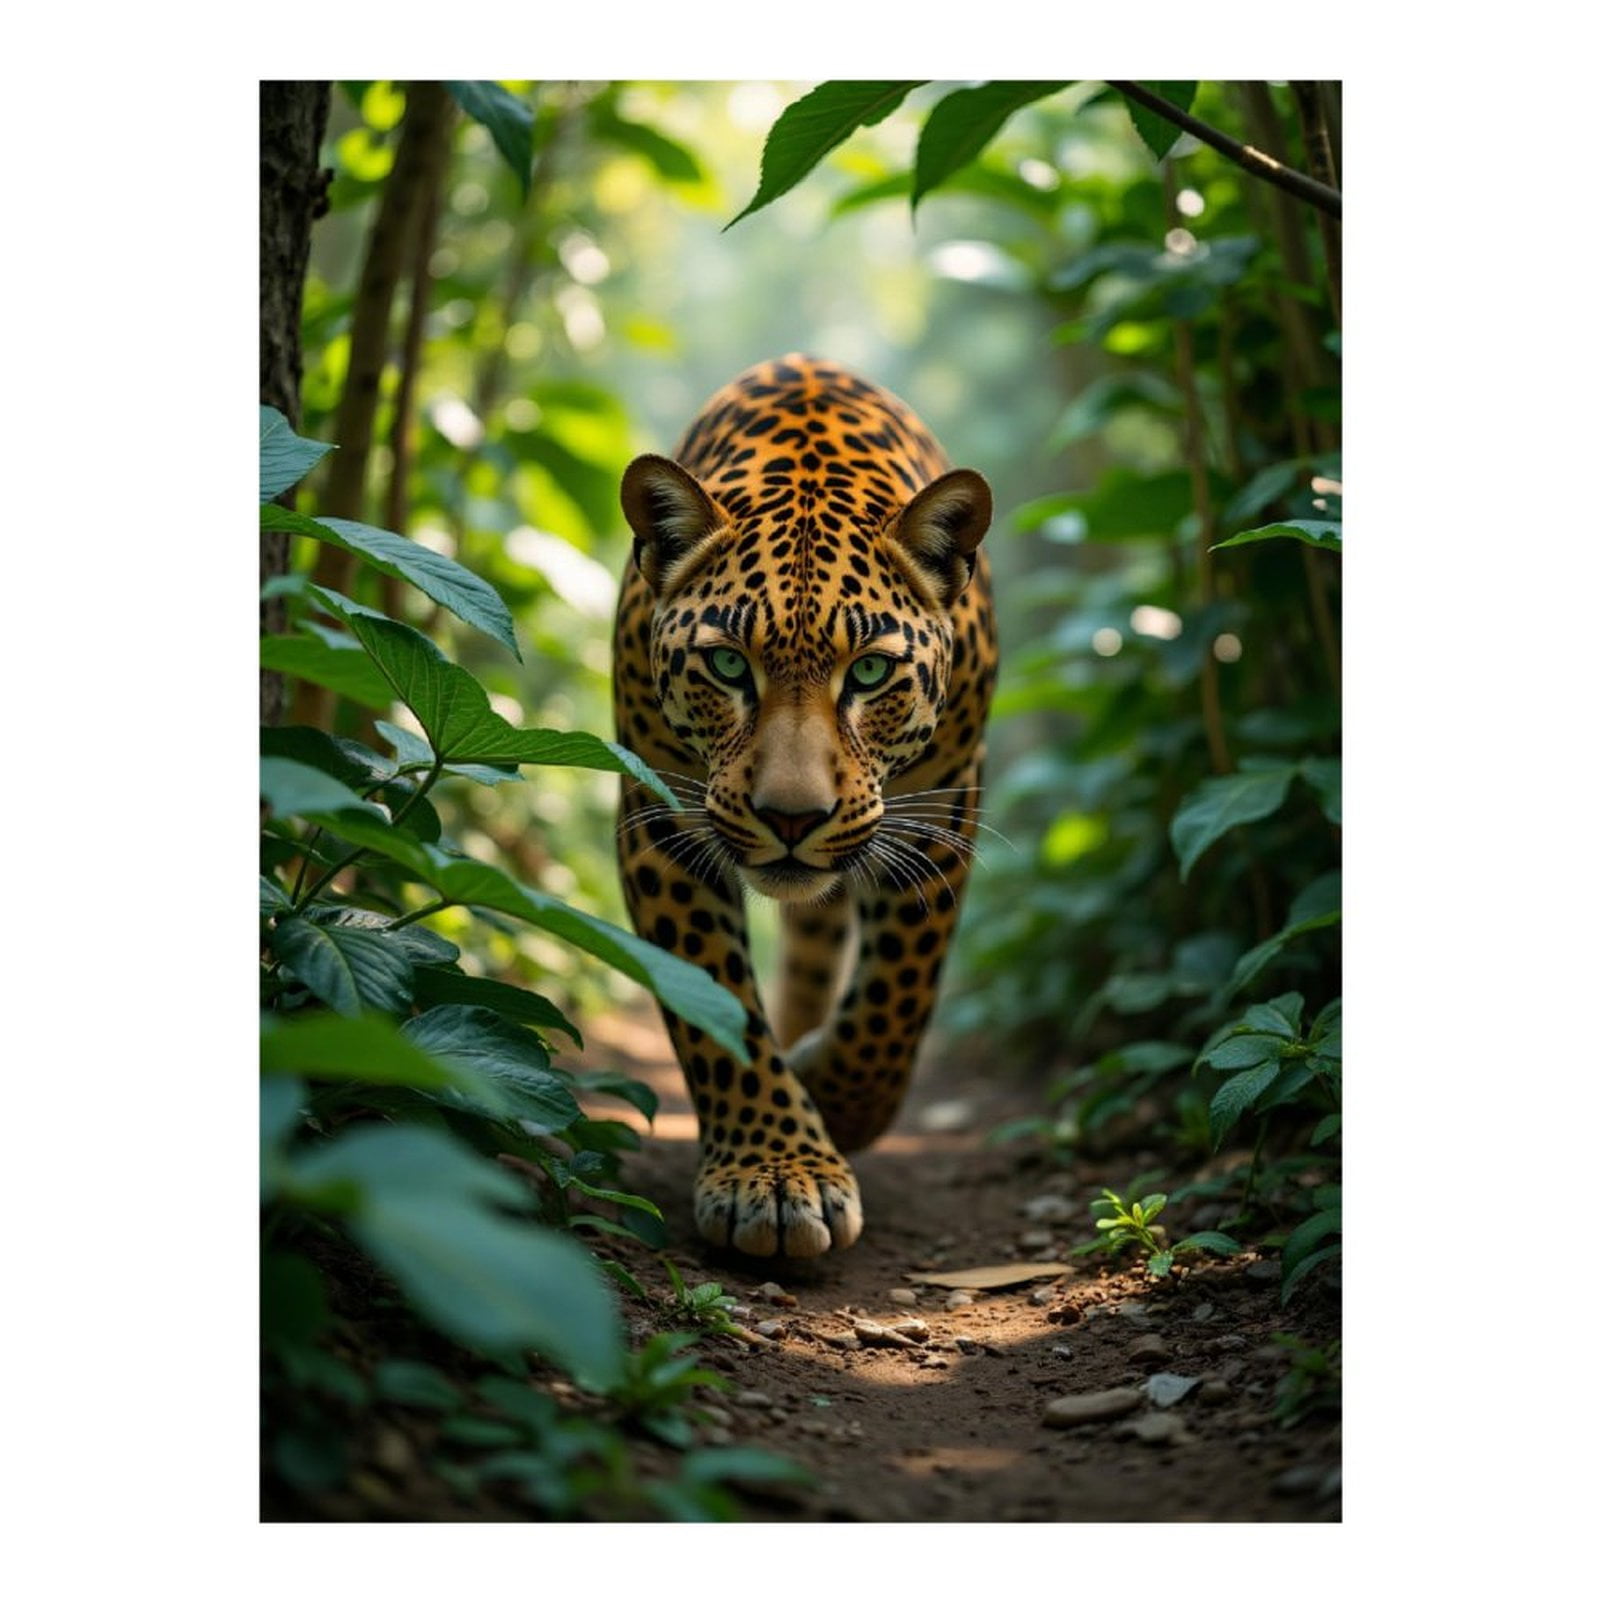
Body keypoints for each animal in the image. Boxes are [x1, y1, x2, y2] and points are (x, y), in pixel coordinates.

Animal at [612, 354, 998, 1258]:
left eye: (870, 672)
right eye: (726, 665)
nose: (792, 818)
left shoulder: (942, 806)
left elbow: (896, 1002)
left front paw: (837, 1099)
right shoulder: (661, 817)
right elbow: (718, 1009)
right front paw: (778, 1172)